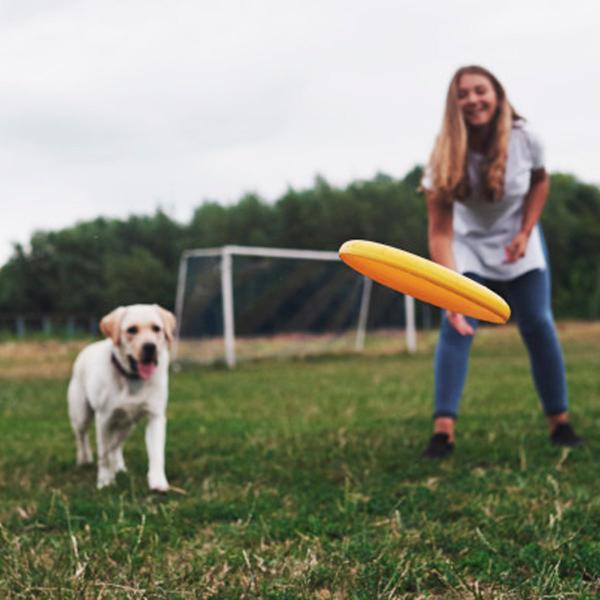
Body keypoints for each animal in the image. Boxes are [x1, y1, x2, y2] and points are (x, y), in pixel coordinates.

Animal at [69, 302, 176, 490]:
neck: (132, 378)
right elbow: (103, 454)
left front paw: (158, 481)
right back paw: (84, 459)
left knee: (116, 446)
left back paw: (118, 466)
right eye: (132, 330)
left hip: (128, 425)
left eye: (157, 328)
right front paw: (105, 481)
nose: (150, 347)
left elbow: (156, 453)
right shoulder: (103, 419)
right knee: (82, 437)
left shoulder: (156, 416)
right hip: (81, 414)